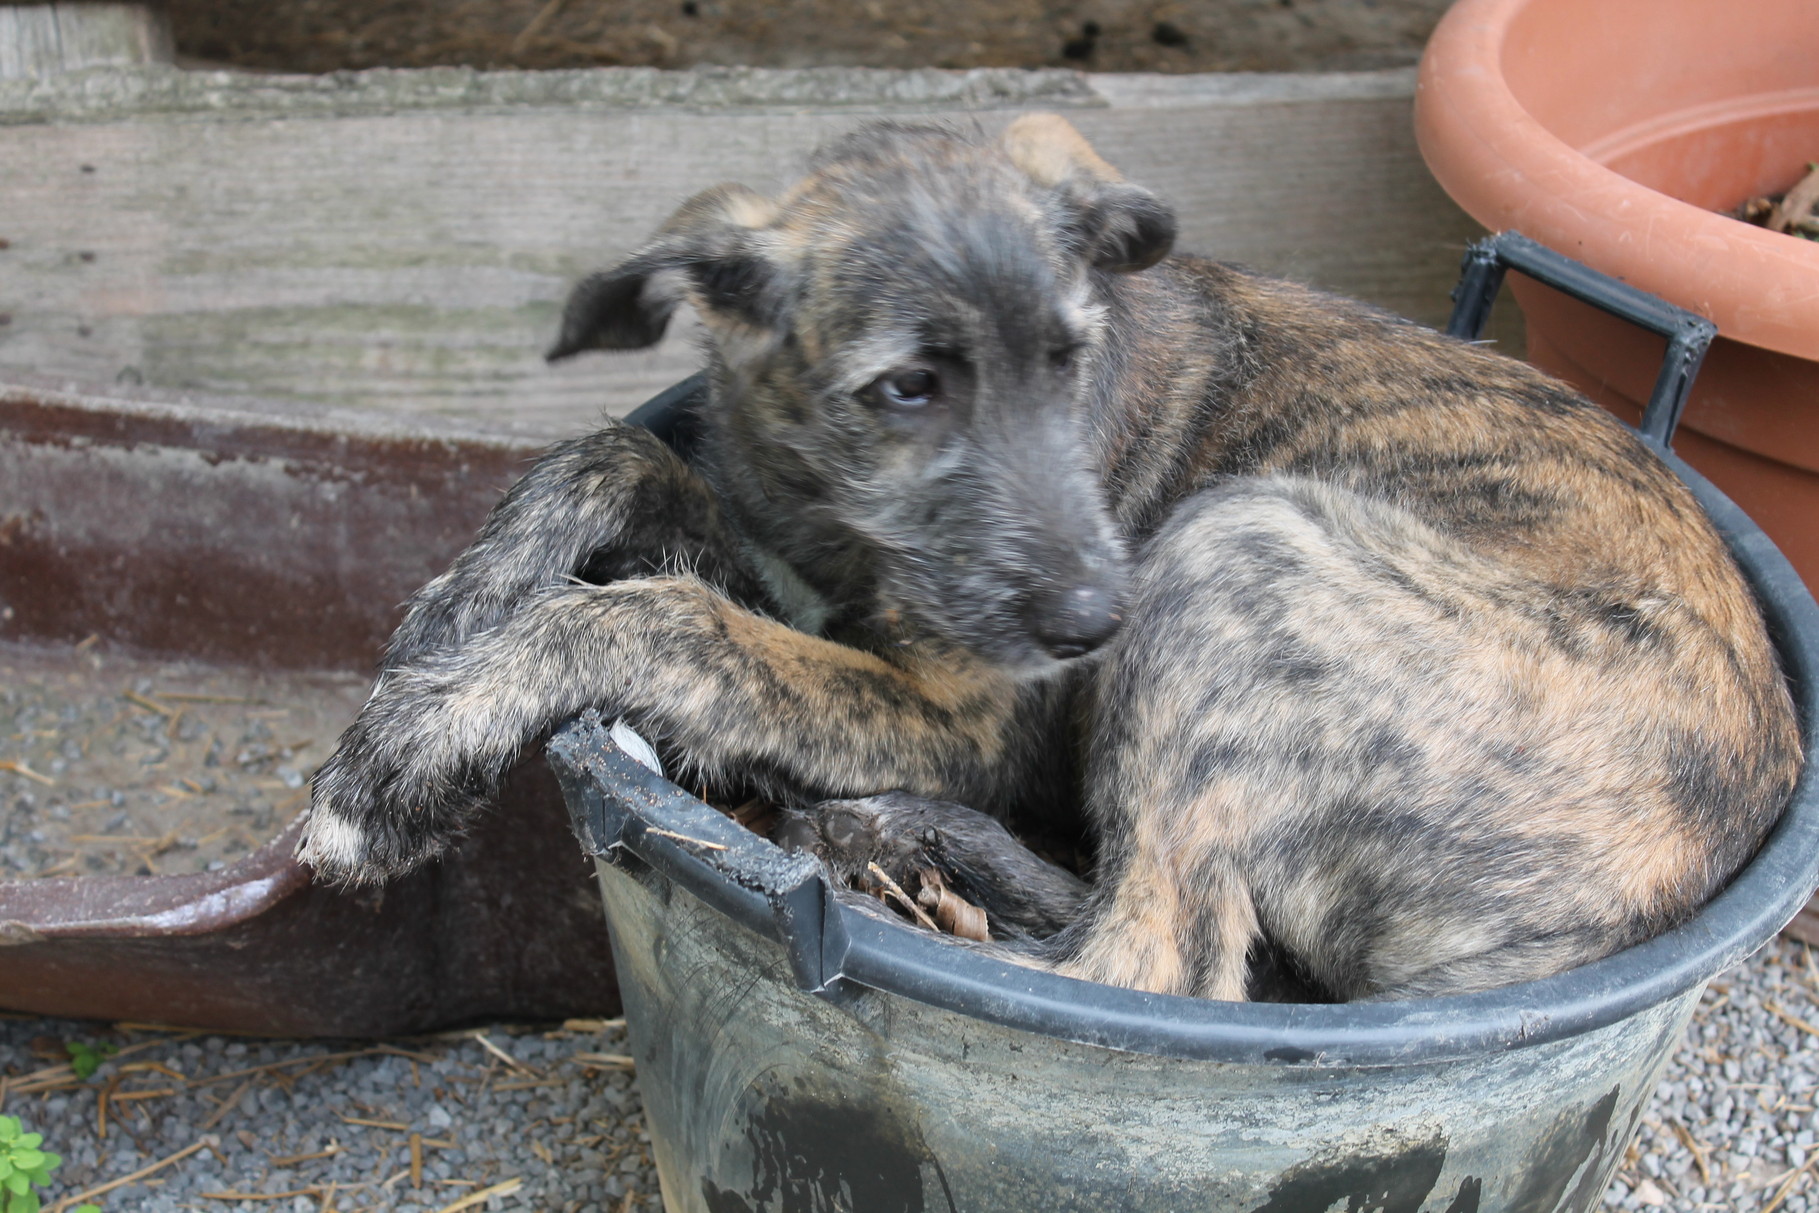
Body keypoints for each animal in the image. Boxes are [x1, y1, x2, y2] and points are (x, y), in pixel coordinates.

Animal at [298, 116, 1804, 1003]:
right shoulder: (792, 569)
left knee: (1153, 965)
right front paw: (441, 622)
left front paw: (398, 767)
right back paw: (893, 844)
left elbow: (652, 619)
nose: (1094, 621)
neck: (839, 515)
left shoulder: (961, 713)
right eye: (906, 388)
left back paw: (892, 890)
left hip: (1236, 546)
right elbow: (608, 458)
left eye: (1070, 359)